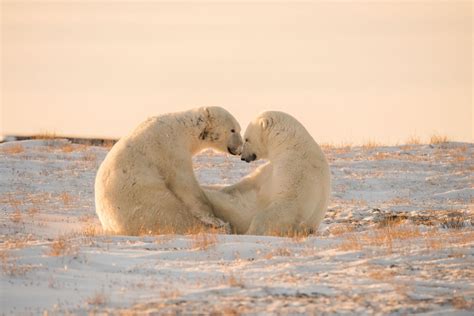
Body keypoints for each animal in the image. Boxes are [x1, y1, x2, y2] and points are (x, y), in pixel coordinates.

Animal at [96, 106, 244, 235]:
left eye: (238, 129)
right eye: (233, 130)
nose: (240, 147)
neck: (184, 130)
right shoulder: (171, 149)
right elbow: (184, 183)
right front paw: (213, 217)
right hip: (145, 199)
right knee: (174, 214)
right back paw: (219, 226)